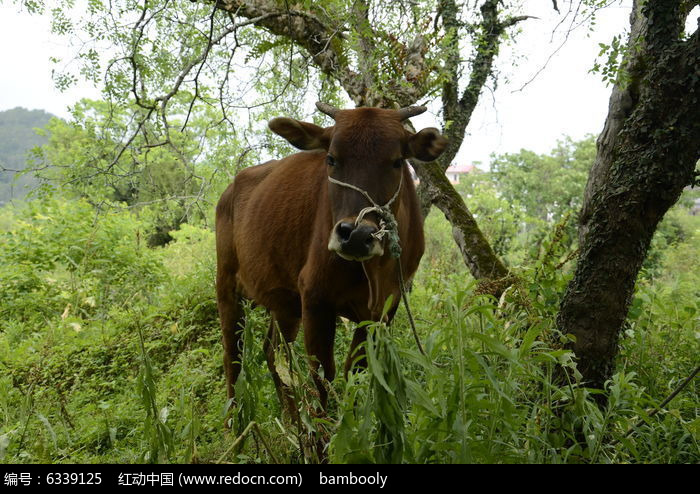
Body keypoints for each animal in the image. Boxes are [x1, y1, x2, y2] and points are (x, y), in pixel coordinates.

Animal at [216, 103, 448, 410]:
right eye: (331, 158)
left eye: (398, 161)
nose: (357, 235)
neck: (374, 269)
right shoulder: (316, 298)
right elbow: (323, 377)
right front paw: (328, 423)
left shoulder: (385, 307)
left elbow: (355, 371)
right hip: (227, 285)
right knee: (233, 356)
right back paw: (235, 420)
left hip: (284, 302)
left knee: (274, 354)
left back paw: (292, 420)